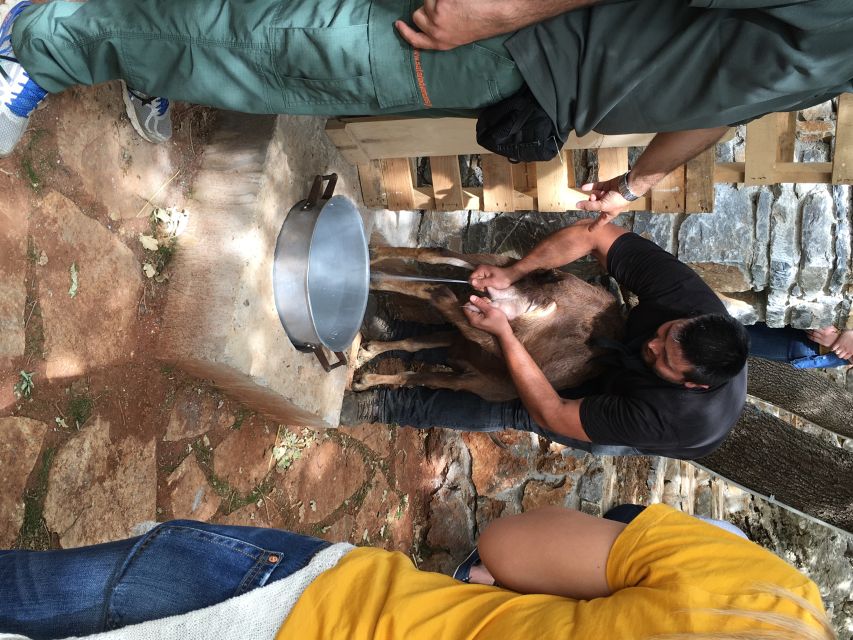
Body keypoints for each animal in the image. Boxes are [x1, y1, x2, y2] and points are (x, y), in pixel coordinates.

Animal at [352, 249, 624, 402]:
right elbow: (414, 363)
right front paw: (364, 375)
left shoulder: (464, 359)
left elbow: (415, 351)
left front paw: (368, 359)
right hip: (503, 284)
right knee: (437, 276)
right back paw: (374, 269)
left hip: (493, 293)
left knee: (437, 271)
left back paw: (374, 267)